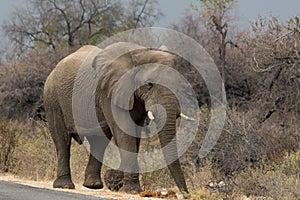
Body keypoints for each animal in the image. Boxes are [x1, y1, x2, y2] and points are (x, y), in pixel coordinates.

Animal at [43, 42, 192, 194]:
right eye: (149, 84)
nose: (186, 194)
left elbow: (133, 133)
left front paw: (116, 181)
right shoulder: (110, 93)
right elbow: (124, 130)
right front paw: (131, 190)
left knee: (99, 142)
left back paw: (93, 185)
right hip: (52, 99)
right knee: (62, 140)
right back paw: (65, 186)